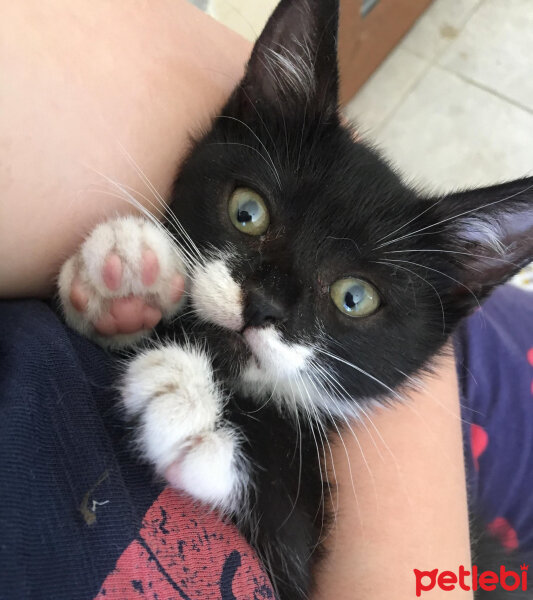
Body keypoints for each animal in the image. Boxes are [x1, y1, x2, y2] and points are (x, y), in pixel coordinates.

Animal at [58, 1, 532, 596]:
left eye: (355, 297)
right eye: (247, 212)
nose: (264, 303)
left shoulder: (294, 562)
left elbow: (289, 533)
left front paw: (201, 412)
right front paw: (123, 280)